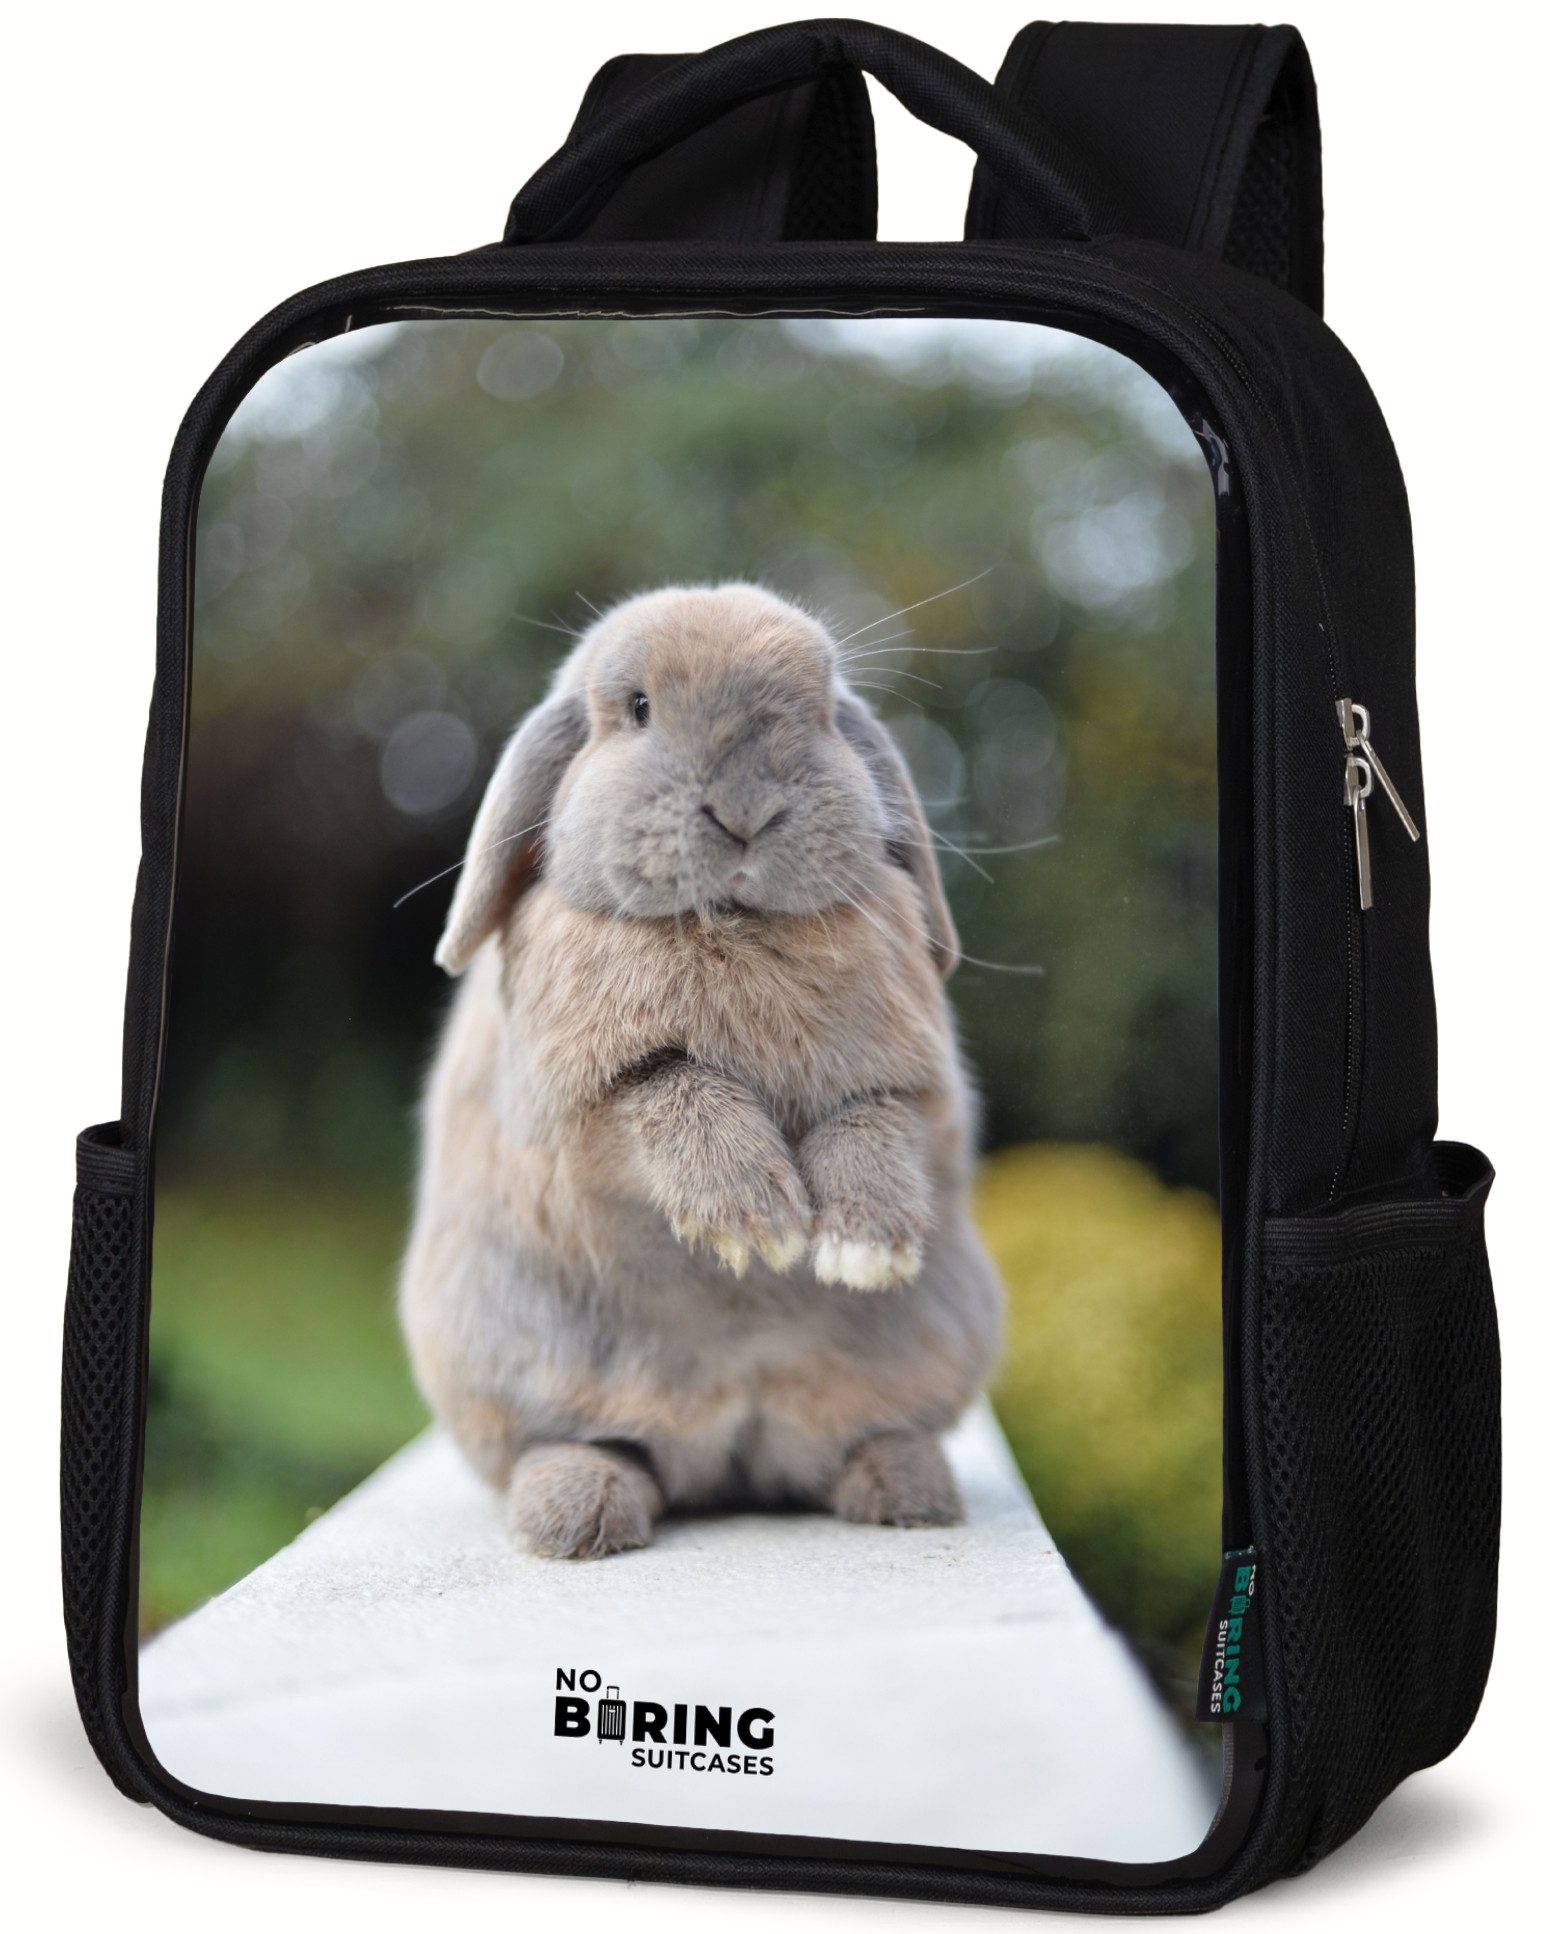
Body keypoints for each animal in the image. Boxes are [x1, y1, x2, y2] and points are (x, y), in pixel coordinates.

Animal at [398, 583, 1003, 1558]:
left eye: (822, 709)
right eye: (638, 707)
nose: (746, 812)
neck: (734, 925)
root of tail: (726, 1454)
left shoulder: (908, 1087)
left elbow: (870, 1127)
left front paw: (862, 1249)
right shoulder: (580, 1108)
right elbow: (673, 1093)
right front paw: (755, 1229)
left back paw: (907, 1489)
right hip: (513, 1361)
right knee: (592, 1448)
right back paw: (577, 1512)